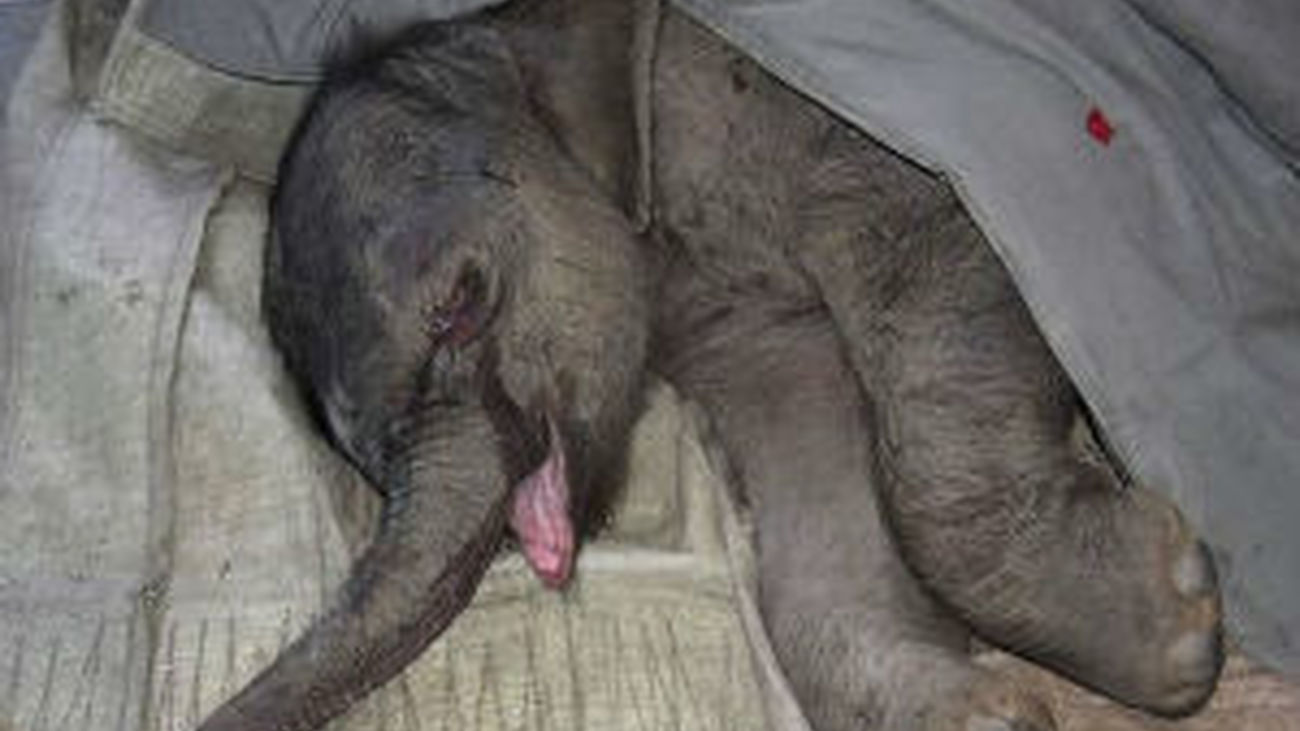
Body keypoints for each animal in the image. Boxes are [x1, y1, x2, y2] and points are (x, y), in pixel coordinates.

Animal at [200, 0, 1225, 729]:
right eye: (369, 461)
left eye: (460, 304)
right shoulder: (735, 326)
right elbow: (818, 456)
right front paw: (986, 716)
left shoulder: (831, 133)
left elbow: (935, 267)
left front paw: (1187, 626)